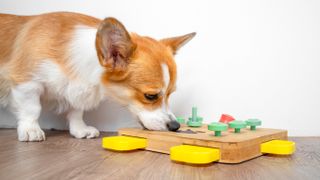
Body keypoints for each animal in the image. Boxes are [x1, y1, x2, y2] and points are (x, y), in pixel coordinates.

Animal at [0, 11, 195, 141]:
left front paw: (80, 130)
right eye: (151, 96)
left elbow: (76, 112)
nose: (175, 126)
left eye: (170, 94)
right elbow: (32, 108)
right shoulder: (26, 82)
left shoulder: (77, 89)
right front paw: (30, 130)